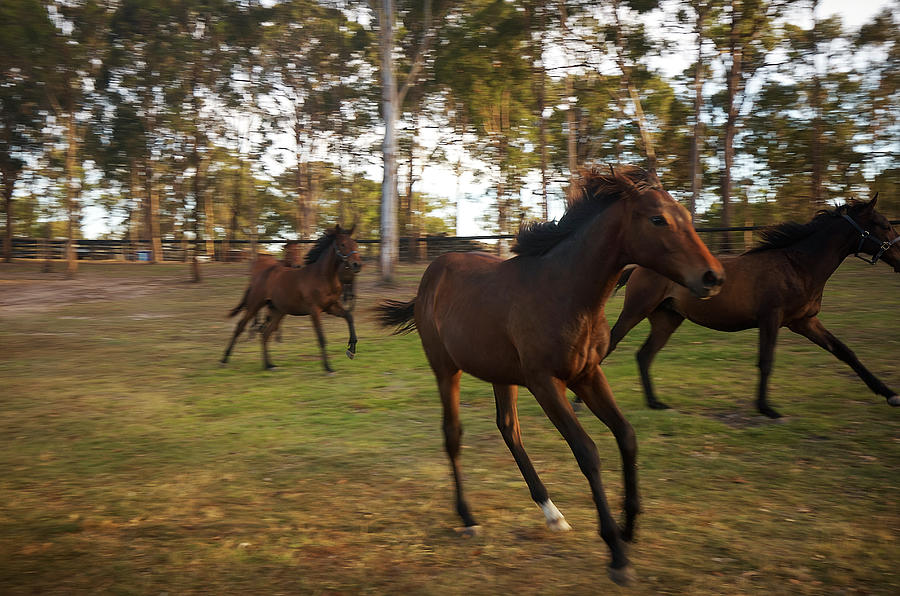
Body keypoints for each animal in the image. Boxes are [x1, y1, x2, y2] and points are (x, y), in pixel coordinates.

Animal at [221, 225, 362, 372]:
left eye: (355, 244)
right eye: (343, 244)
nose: (357, 264)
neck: (323, 277)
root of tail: (258, 276)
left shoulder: (331, 306)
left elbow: (349, 317)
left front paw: (351, 351)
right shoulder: (314, 310)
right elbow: (321, 337)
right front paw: (328, 368)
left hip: (278, 311)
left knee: (265, 333)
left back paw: (269, 365)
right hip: (255, 304)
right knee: (241, 326)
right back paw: (224, 360)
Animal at [378, 165, 724, 584]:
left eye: (687, 216)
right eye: (658, 219)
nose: (713, 277)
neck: (566, 293)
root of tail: (432, 275)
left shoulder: (587, 375)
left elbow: (626, 436)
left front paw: (629, 526)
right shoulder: (546, 383)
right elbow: (587, 452)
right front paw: (617, 554)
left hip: (500, 374)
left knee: (508, 428)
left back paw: (552, 513)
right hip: (446, 369)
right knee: (453, 434)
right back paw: (468, 517)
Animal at [604, 197, 900, 420]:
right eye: (884, 225)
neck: (798, 266)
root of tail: (637, 267)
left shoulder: (805, 322)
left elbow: (845, 352)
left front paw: (890, 394)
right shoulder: (771, 318)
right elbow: (766, 361)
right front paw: (766, 408)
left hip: (667, 319)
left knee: (644, 355)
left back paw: (656, 403)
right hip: (636, 311)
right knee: (611, 344)